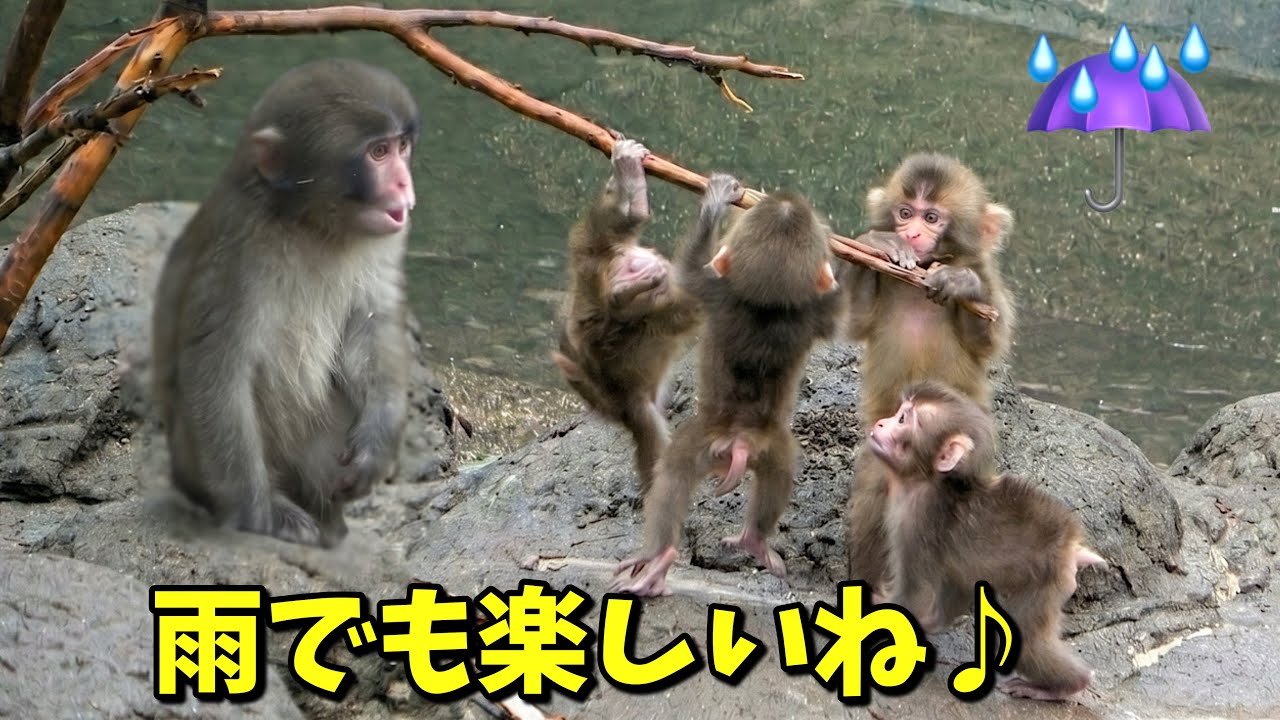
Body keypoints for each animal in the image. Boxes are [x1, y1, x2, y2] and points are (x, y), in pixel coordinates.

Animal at [150, 59, 419, 548]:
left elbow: (374, 323)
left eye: (401, 147)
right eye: (378, 153)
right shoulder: (237, 257)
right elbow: (217, 366)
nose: (403, 183)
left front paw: (378, 441)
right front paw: (259, 514)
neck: (310, 225)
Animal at [614, 175, 843, 597]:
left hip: (701, 442)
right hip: (768, 446)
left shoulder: (715, 290)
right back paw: (753, 541)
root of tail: (738, 441)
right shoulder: (814, 313)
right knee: (779, 473)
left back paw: (653, 557)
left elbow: (688, 272)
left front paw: (714, 204)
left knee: (670, 477)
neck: (766, 307)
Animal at [841, 153, 1016, 590]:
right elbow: (855, 324)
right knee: (875, 488)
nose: (914, 232)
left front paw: (961, 282)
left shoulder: (987, 275)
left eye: (932, 217)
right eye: (905, 213)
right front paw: (880, 244)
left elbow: (989, 339)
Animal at [868, 380, 1105, 701]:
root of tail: (1070, 548)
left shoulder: (916, 525)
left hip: (1045, 582)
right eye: (897, 413)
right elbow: (955, 583)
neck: (926, 479)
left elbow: (916, 590)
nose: (881, 422)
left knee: (1026, 635)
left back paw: (1062, 686)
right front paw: (930, 622)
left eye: (903, 419)